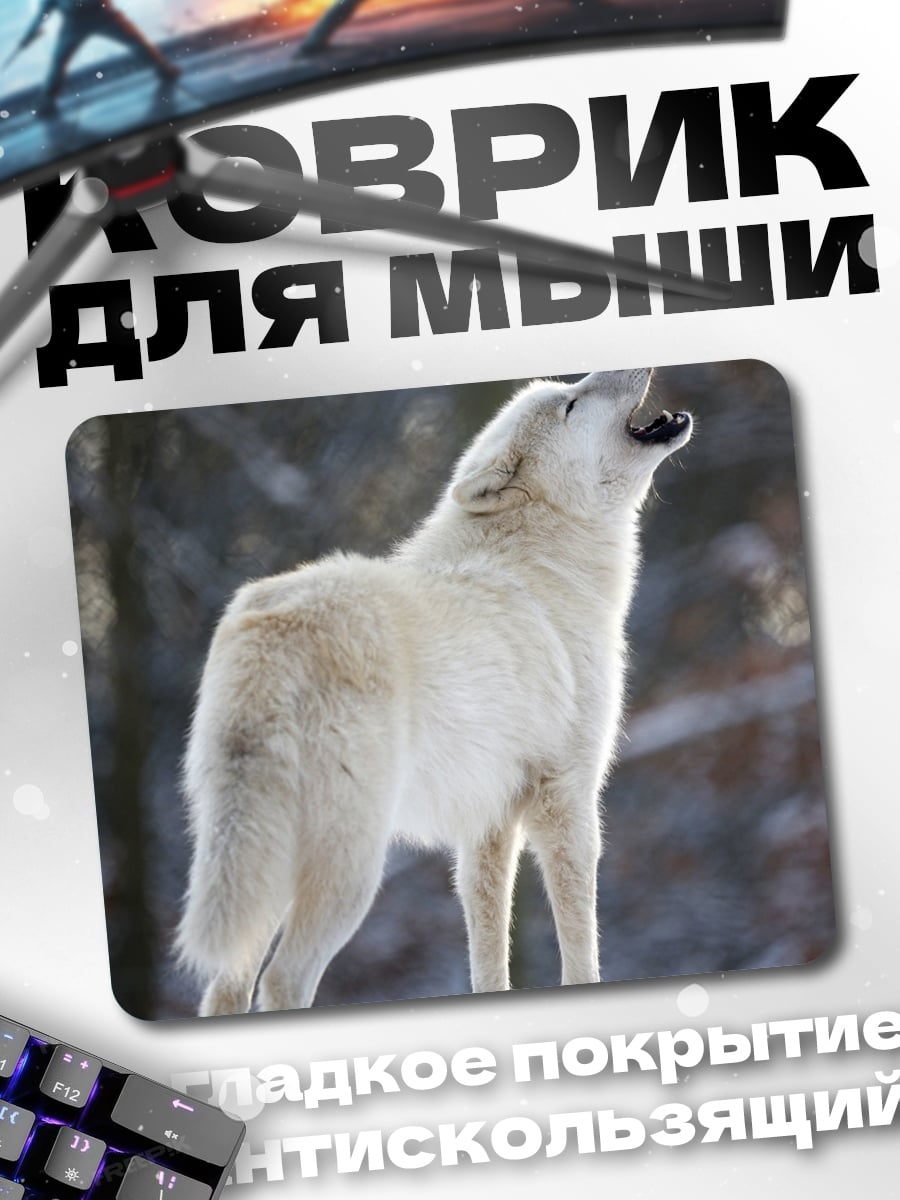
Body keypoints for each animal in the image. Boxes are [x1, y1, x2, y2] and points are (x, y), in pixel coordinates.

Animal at [176, 368, 692, 1014]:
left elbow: (488, 952)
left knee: (226, 985)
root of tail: (271, 627)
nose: (634, 364)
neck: (546, 561)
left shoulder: (487, 823)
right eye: (572, 403)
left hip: (263, 859)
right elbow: (581, 949)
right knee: (281, 979)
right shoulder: (566, 798)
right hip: (350, 867)